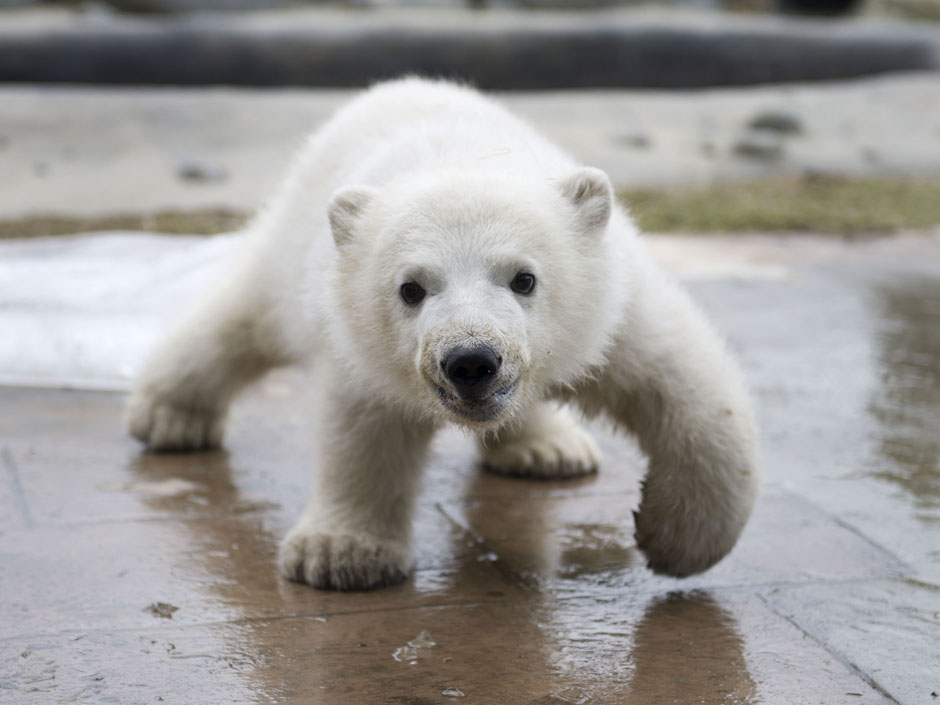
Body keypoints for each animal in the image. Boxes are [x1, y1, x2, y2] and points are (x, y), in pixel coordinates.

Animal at [127, 77, 759, 590]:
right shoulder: (358, 342)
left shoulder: (610, 307)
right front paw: (340, 555)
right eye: (411, 288)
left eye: (524, 279)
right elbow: (363, 431)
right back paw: (169, 415)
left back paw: (547, 449)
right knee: (242, 315)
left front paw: (678, 543)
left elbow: (687, 387)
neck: (469, 158)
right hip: (296, 244)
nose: (472, 361)